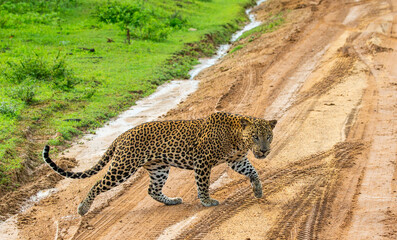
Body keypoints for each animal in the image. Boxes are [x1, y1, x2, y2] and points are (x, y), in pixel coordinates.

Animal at [42, 112, 276, 216]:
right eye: (255, 137)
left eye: (268, 136)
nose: (264, 150)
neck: (237, 137)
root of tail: (122, 135)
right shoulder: (203, 162)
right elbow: (203, 184)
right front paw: (207, 201)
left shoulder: (237, 160)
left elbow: (253, 172)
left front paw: (257, 190)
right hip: (123, 166)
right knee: (98, 184)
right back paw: (83, 208)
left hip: (159, 168)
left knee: (152, 190)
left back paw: (171, 201)